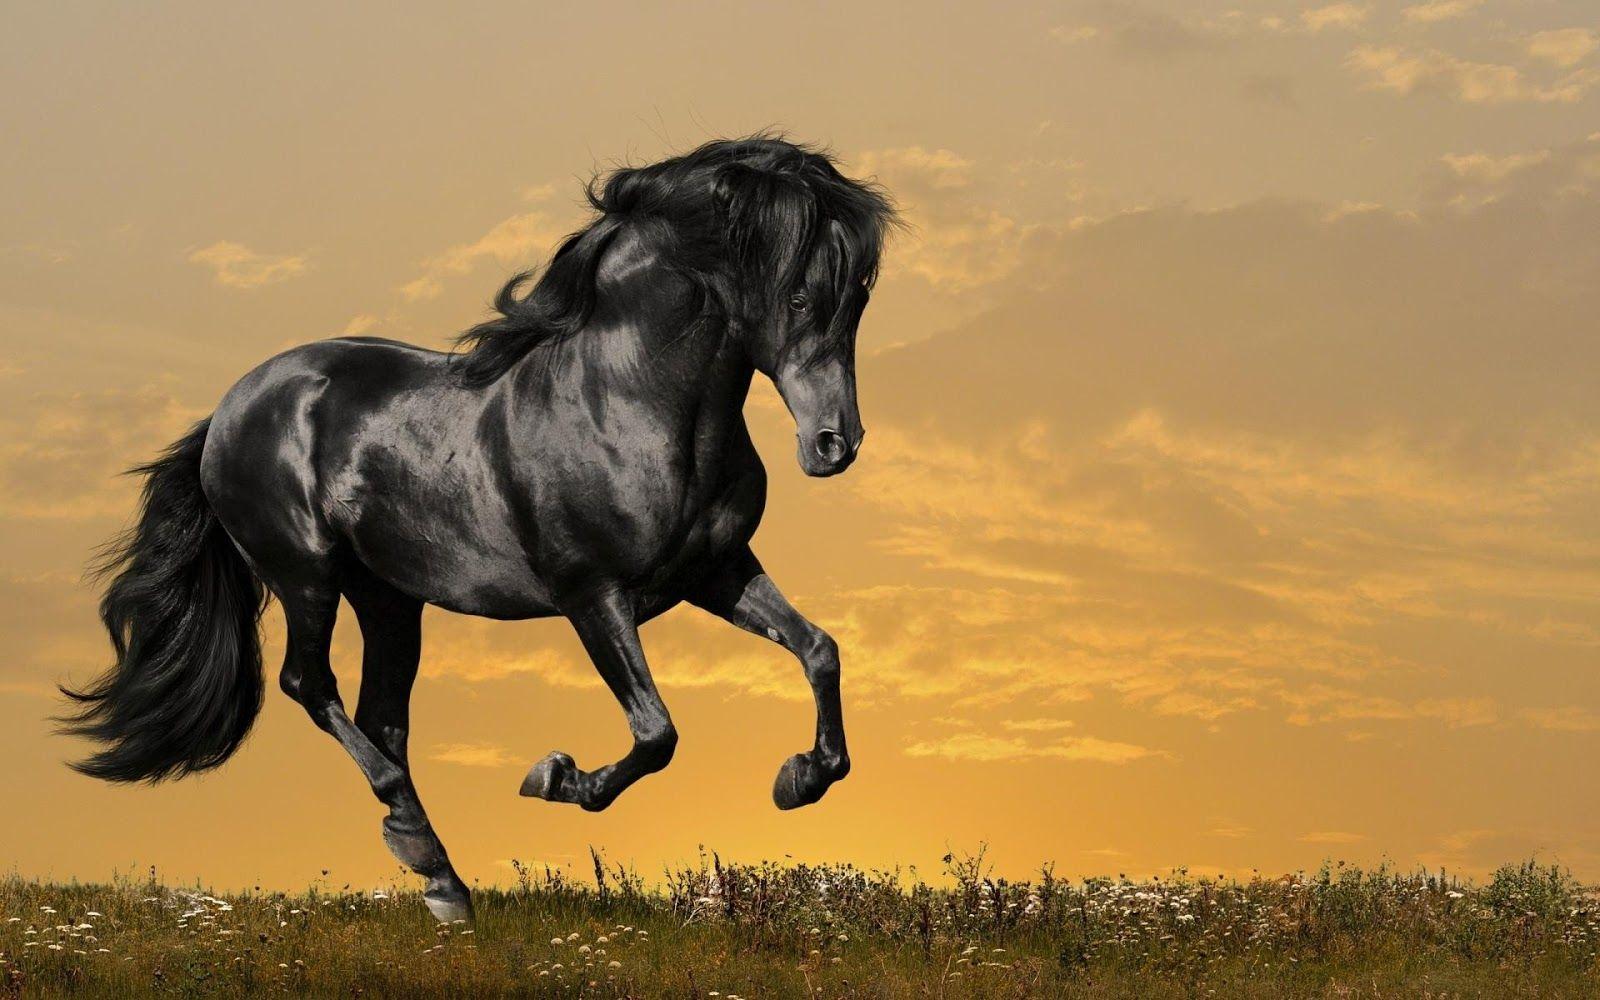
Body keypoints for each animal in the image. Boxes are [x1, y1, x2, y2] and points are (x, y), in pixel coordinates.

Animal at [59, 135, 897, 921]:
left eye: (858, 296)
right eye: (798, 296)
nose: (834, 445)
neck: (627, 404)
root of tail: (231, 410)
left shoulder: (714, 571)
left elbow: (819, 650)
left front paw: (800, 778)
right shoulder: (592, 595)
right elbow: (656, 733)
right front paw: (556, 777)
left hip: (389, 599)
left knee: (382, 718)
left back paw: (443, 883)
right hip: (307, 577)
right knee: (311, 685)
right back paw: (422, 848)